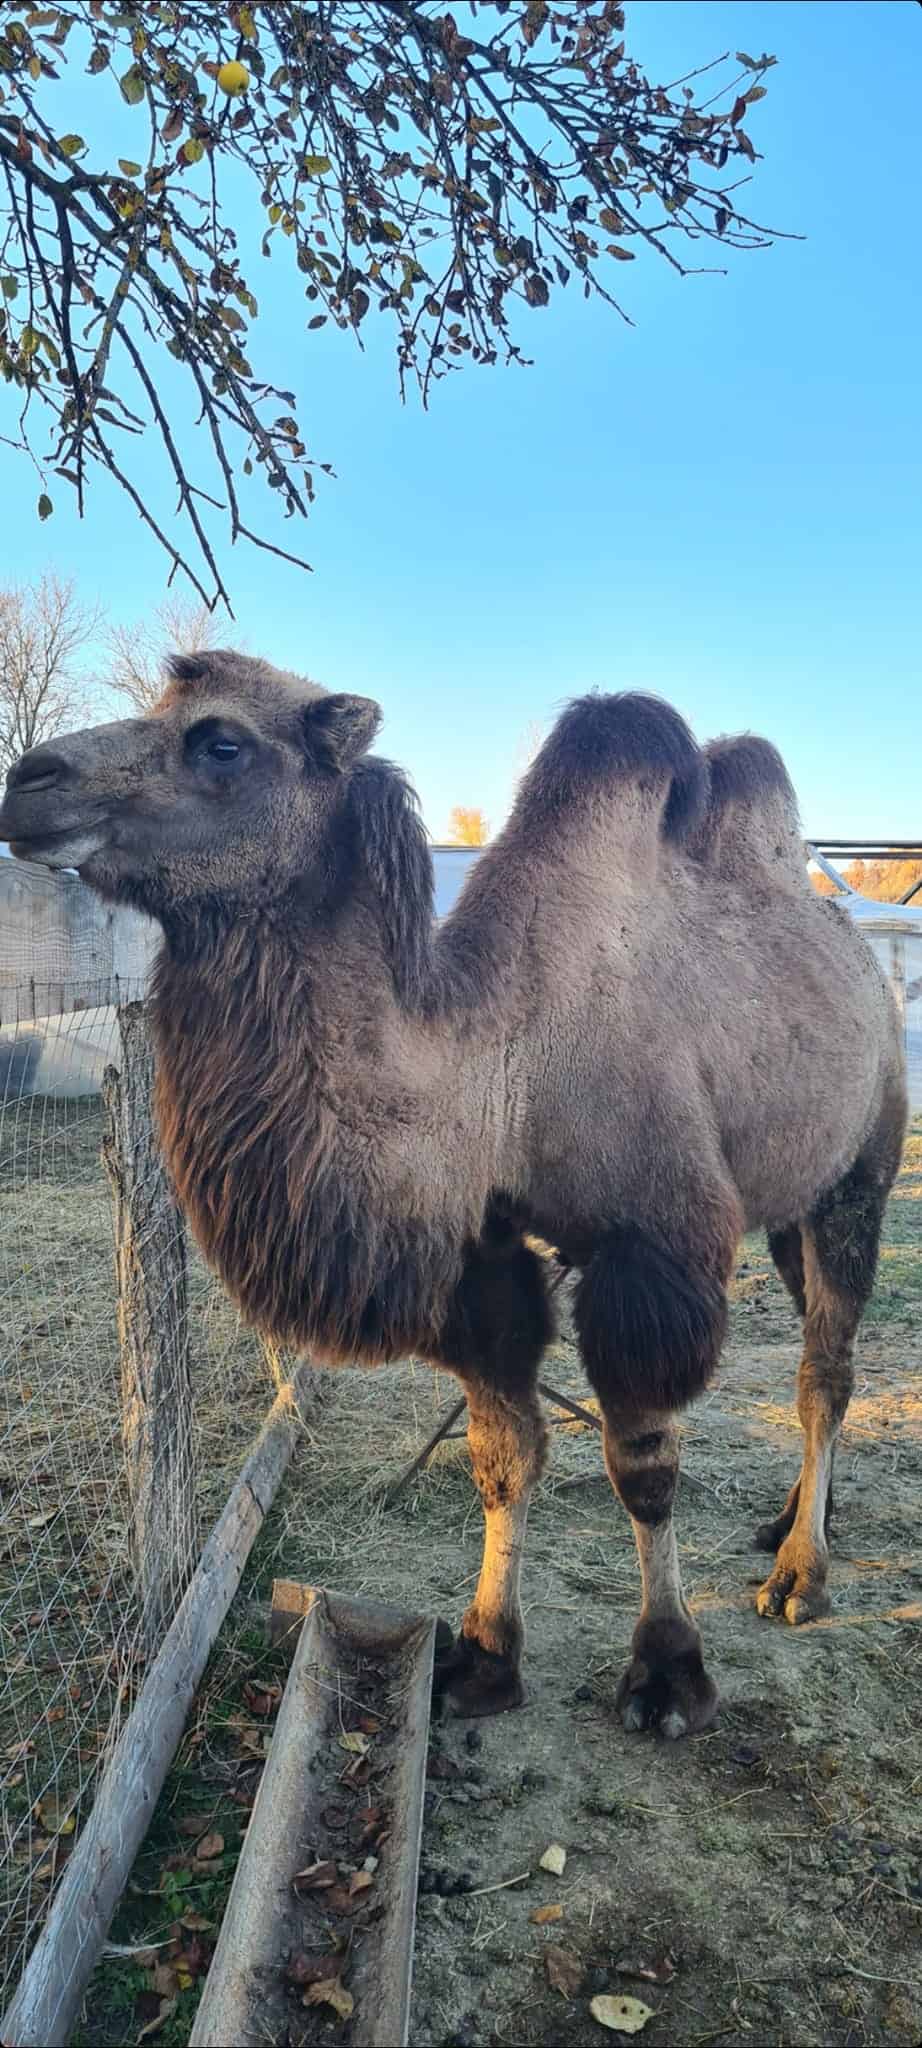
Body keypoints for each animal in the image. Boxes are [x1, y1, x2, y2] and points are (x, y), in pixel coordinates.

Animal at [1, 651, 905, 1728]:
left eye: (221, 741)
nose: (27, 781)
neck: (497, 1069)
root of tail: (865, 963)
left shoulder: (652, 1246)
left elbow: (643, 1465)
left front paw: (666, 1671)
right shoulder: (480, 1256)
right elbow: (503, 1454)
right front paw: (481, 1652)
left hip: (865, 1161)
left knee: (824, 1370)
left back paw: (800, 1575)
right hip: (787, 1205)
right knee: (814, 1330)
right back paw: (788, 1520)